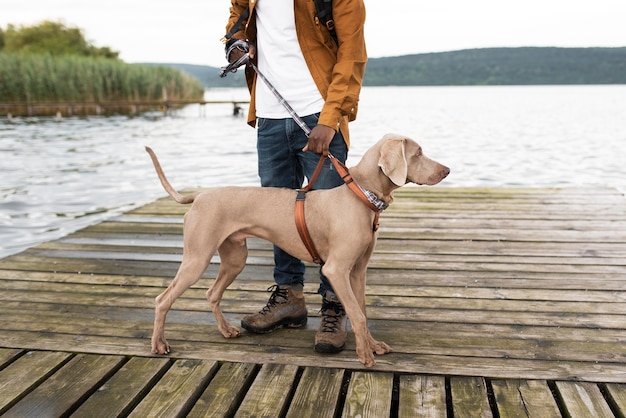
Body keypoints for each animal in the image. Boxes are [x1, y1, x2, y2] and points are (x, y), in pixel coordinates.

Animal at [146, 133, 448, 366]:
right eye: (418, 153)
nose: (447, 170)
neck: (361, 195)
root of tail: (199, 195)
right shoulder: (336, 270)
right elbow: (357, 314)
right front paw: (365, 356)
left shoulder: (357, 271)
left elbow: (361, 310)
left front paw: (372, 346)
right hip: (197, 258)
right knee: (163, 299)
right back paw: (159, 344)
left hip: (235, 257)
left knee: (212, 293)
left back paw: (225, 330)